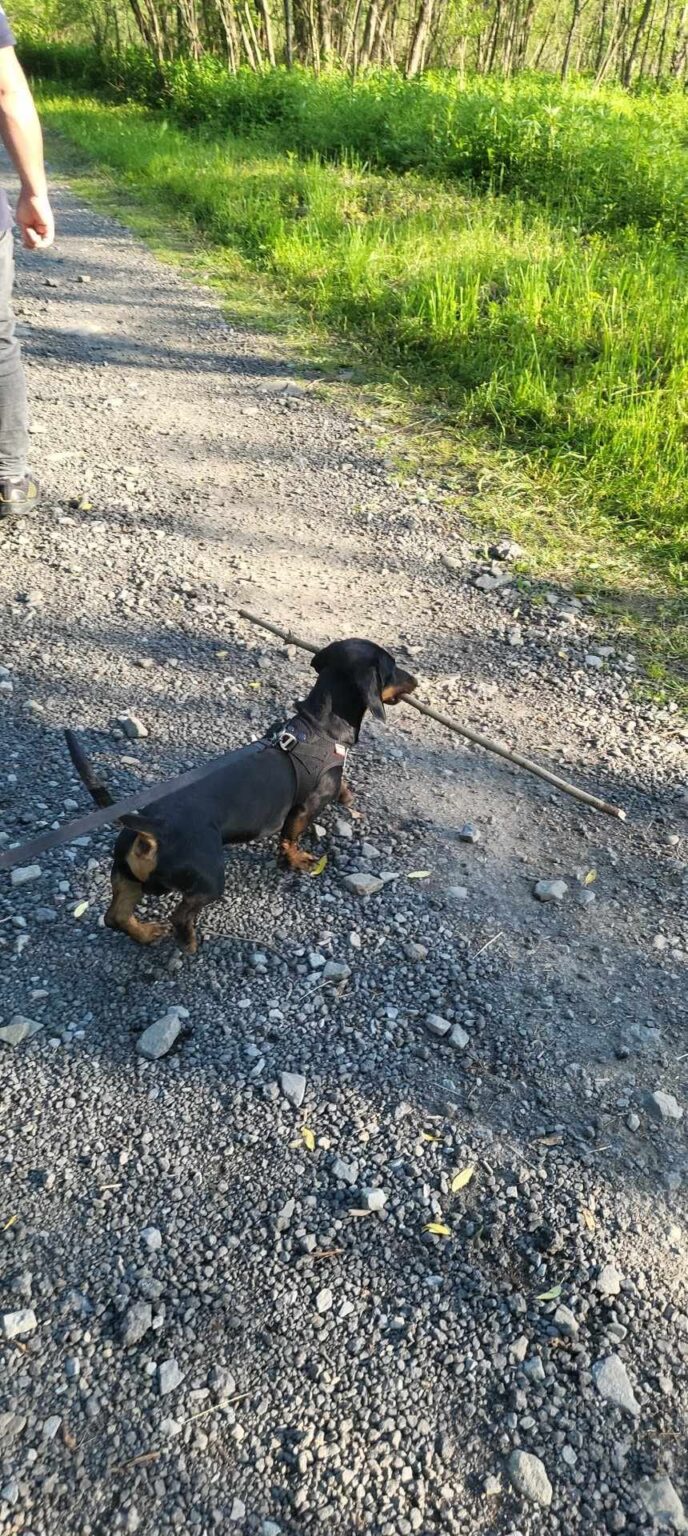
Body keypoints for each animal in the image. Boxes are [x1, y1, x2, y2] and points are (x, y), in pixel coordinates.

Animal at [65, 638, 417, 954]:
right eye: (392, 667)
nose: (416, 680)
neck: (318, 728)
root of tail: (151, 826)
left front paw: (346, 796)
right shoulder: (305, 808)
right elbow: (290, 838)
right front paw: (295, 860)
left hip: (125, 877)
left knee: (115, 917)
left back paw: (146, 933)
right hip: (208, 880)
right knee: (180, 916)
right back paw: (188, 943)